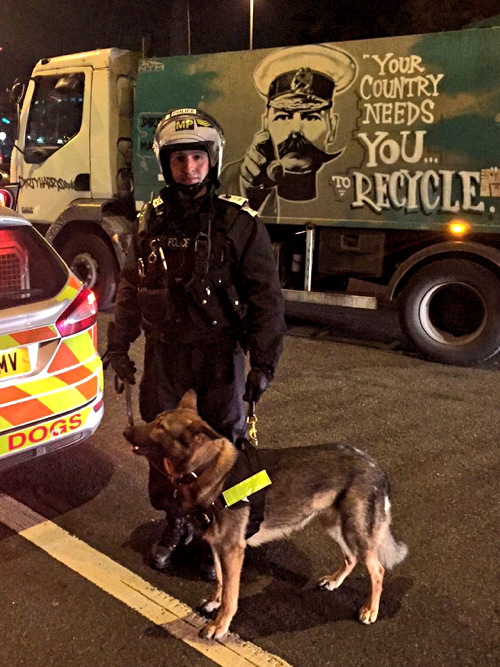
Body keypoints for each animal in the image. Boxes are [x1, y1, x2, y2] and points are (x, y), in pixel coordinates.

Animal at [124, 392, 406, 640]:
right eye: (155, 420)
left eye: (160, 427)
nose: (126, 431)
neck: (206, 468)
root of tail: (377, 467)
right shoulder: (218, 547)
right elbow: (221, 581)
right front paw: (214, 601)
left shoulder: (232, 550)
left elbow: (231, 595)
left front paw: (219, 626)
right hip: (336, 526)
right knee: (350, 558)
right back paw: (334, 581)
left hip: (356, 531)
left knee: (377, 570)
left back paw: (370, 610)